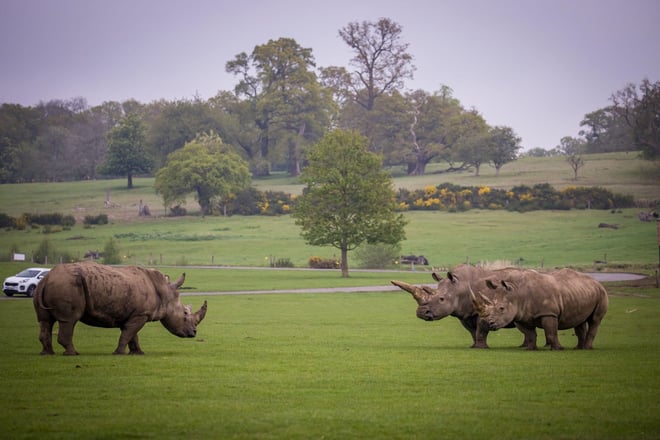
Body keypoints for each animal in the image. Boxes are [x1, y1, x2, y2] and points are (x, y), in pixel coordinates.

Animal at [33, 262, 208, 355]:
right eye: (185, 313)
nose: (193, 333)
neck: (165, 293)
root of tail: (48, 277)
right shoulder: (140, 314)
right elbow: (128, 334)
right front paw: (119, 353)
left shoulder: (133, 314)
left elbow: (132, 335)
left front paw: (138, 353)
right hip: (67, 285)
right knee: (69, 320)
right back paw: (73, 354)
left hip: (48, 285)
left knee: (45, 321)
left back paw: (47, 354)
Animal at [391, 265, 536, 348]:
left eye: (441, 299)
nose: (421, 313)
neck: (460, 287)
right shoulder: (465, 313)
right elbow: (472, 331)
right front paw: (473, 345)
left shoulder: (483, 311)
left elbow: (481, 330)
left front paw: (481, 347)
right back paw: (522, 347)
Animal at [470, 268, 608, 350]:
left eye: (501, 308)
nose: (489, 323)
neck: (517, 293)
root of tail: (596, 281)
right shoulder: (521, 315)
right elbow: (530, 333)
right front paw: (530, 349)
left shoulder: (548, 313)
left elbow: (551, 332)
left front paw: (558, 349)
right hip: (582, 292)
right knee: (580, 320)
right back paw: (578, 348)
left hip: (601, 293)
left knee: (595, 320)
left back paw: (587, 348)